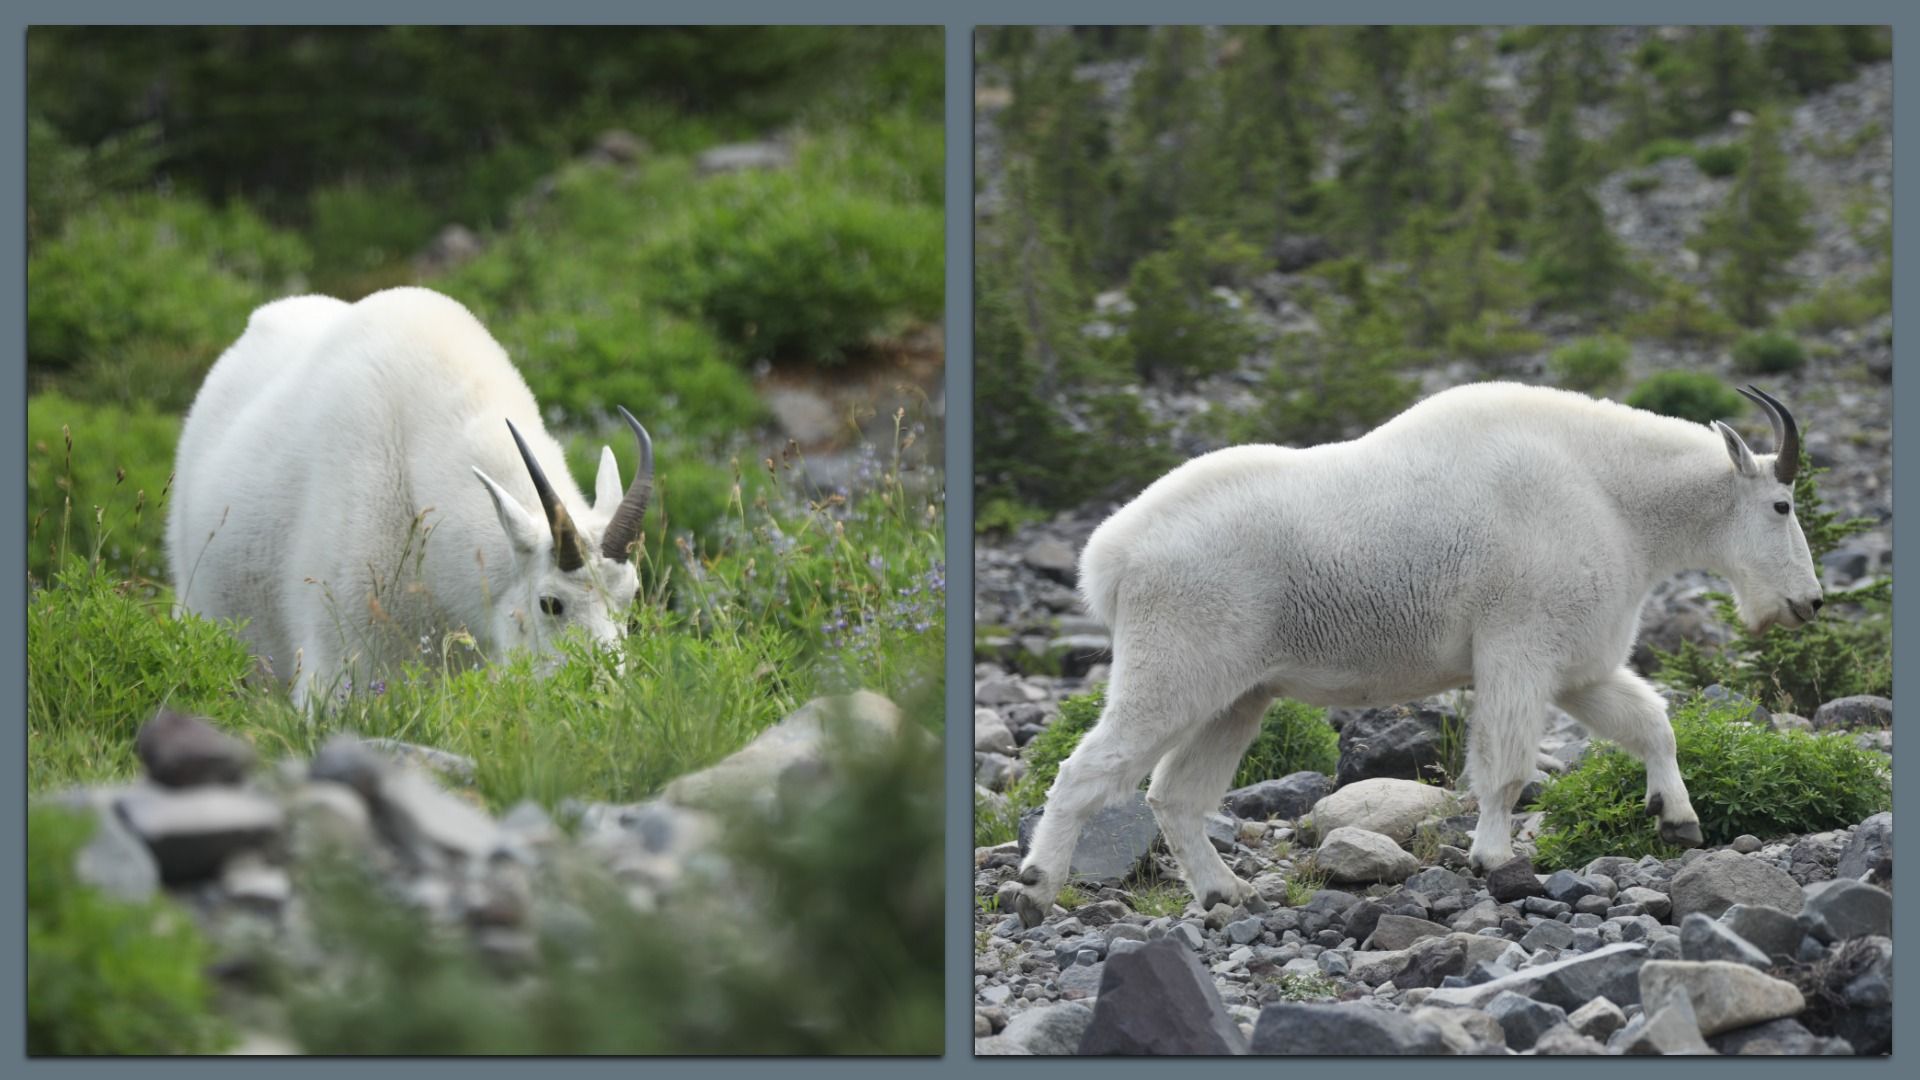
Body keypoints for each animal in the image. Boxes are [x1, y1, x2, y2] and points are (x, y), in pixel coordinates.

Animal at [1000, 382, 1821, 925]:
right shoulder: (1517, 646)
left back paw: (1223, 892)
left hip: (1237, 695)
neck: (1614, 495)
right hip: (1175, 666)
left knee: (1175, 794)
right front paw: (1492, 859)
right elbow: (1506, 766)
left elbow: (1652, 723)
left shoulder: (1578, 666)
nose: (1810, 603)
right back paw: (1039, 882)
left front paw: (1677, 819)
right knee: (1086, 771)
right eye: (1782, 505)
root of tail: (1111, 557)